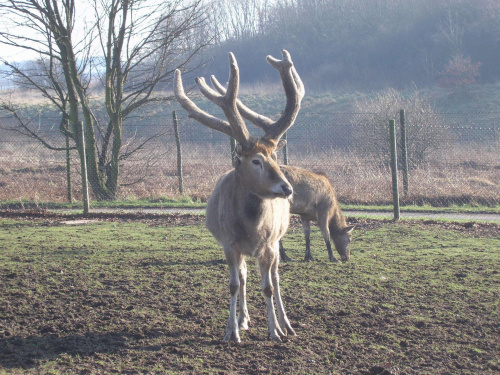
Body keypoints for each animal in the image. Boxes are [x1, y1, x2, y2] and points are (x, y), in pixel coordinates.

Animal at [174, 50, 302, 344]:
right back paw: (244, 319)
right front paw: (231, 330)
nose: (286, 188)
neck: (251, 228)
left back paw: (287, 324)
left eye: (275, 156)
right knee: (243, 276)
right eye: (256, 161)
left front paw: (275, 331)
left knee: (276, 277)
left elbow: (268, 287)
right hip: (241, 249)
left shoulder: (268, 245)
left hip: (277, 241)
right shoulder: (229, 243)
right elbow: (233, 284)